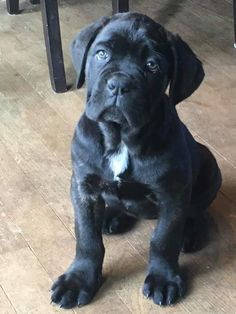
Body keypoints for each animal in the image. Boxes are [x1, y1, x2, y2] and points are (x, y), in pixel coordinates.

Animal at [51, 12, 221, 310]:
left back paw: (192, 232)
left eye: (152, 65)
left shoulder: (172, 193)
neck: (120, 138)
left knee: (198, 210)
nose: (119, 84)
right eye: (102, 54)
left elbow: (164, 238)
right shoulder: (83, 187)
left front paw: (164, 279)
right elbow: (87, 238)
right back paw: (112, 216)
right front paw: (78, 280)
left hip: (210, 166)